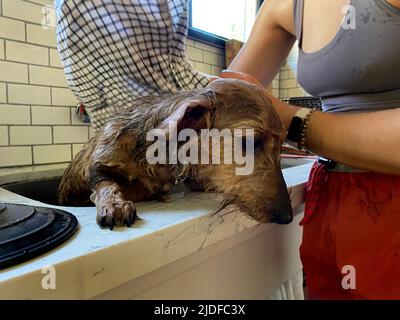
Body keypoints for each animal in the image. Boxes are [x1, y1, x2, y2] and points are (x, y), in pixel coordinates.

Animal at [57, 79, 292, 229]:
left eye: (282, 145)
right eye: (251, 141)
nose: (288, 216)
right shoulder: (100, 162)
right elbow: (106, 182)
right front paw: (114, 204)